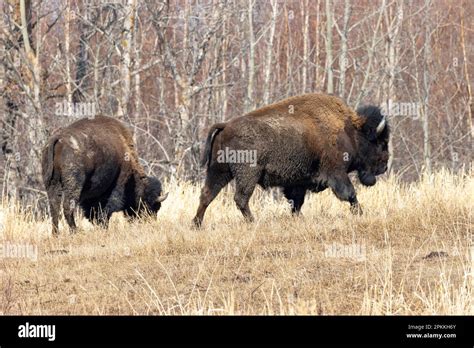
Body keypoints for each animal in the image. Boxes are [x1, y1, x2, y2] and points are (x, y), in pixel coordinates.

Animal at [193, 94, 388, 227]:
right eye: (381, 143)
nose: (384, 167)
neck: (350, 131)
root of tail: (226, 125)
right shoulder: (336, 173)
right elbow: (350, 193)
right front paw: (360, 213)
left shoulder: (298, 182)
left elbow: (296, 202)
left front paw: (298, 218)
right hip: (247, 174)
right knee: (240, 198)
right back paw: (252, 221)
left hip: (219, 171)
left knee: (207, 194)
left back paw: (196, 224)